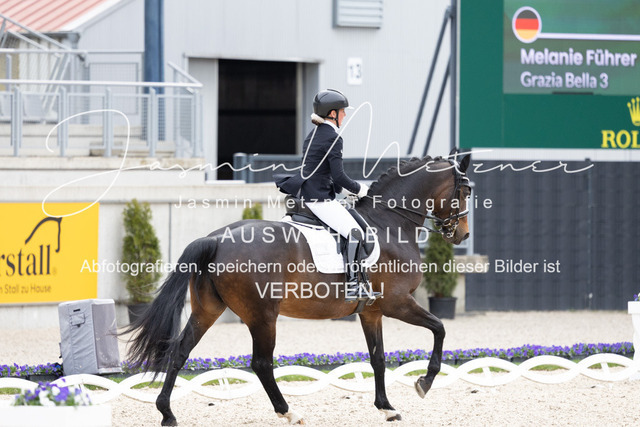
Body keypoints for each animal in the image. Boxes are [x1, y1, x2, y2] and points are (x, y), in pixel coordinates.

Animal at [124, 153, 472, 425]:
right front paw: (424, 382)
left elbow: (378, 358)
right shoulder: (397, 303)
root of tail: (217, 238)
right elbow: (439, 329)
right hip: (263, 316)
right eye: (466, 191)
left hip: (208, 310)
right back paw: (289, 412)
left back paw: (167, 413)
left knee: (180, 350)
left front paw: (387, 408)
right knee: (261, 364)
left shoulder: (371, 312)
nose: (463, 234)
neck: (390, 223)